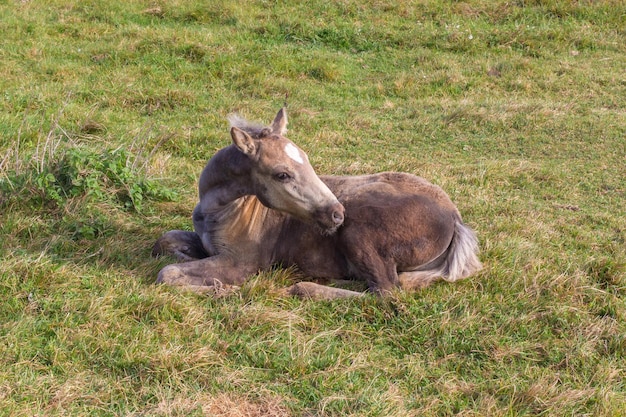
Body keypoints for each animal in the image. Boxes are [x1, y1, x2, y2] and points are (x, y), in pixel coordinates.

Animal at [154, 105, 480, 298]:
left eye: (307, 160)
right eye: (282, 174)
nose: (336, 213)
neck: (219, 212)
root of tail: (455, 219)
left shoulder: (240, 262)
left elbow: (166, 274)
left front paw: (222, 288)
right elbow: (164, 242)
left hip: (359, 231)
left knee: (386, 291)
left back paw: (304, 288)